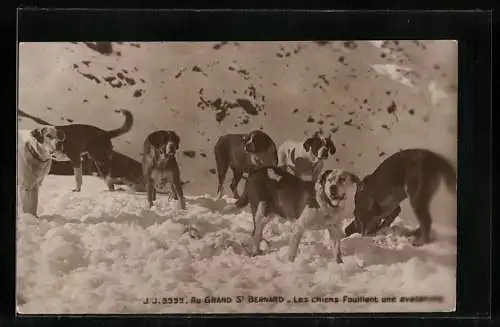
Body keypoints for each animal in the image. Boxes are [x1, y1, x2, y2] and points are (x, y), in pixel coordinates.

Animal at [230, 168, 360, 262]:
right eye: (329, 179)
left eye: (342, 179)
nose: (332, 187)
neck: (328, 204)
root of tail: (255, 172)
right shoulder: (299, 226)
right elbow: (292, 253)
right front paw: (290, 266)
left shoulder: (334, 229)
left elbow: (337, 251)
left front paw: (339, 265)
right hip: (259, 210)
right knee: (255, 234)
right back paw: (256, 251)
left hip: (270, 213)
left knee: (259, 229)